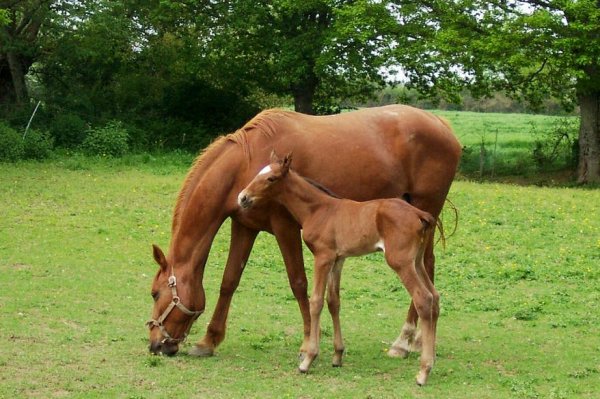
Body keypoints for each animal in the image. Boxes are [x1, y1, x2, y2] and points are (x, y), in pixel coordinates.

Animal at [148, 105, 462, 360]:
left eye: (154, 294)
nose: (155, 345)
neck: (247, 162)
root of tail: (442, 124)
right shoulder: (245, 226)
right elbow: (229, 281)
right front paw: (209, 341)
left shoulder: (285, 227)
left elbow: (298, 282)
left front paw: (308, 344)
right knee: (427, 267)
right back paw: (418, 340)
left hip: (423, 213)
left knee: (424, 270)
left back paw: (404, 342)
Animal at [239, 154, 440, 388]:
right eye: (258, 173)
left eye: (271, 178)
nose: (243, 197)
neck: (318, 210)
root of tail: (419, 214)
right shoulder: (338, 260)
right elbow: (333, 301)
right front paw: (337, 356)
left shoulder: (323, 257)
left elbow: (316, 301)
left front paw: (308, 359)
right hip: (416, 261)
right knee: (435, 296)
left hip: (400, 261)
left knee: (423, 298)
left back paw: (423, 372)